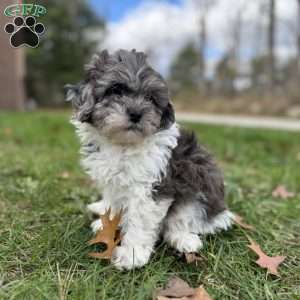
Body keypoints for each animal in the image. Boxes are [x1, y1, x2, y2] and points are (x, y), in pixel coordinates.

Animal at [66, 48, 234, 270]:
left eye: (151, 98)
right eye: (115, 90)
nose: (136, 114)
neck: (123, 144)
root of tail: (221, 212)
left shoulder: (150, 187)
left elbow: (140, 220)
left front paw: (132, 254)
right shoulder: (113, 182)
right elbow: (114, 205)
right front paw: (106, 222)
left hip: (199, 187)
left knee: (184, 221)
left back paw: (185, 240)